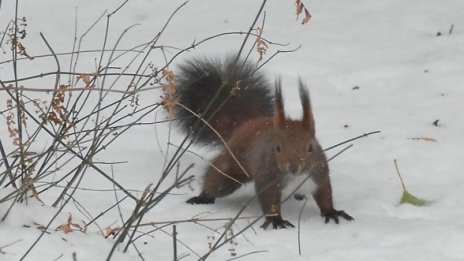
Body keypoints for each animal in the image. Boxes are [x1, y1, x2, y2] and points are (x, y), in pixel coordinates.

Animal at [173, 56, 352, 228]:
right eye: (278, 148)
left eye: (310, 147)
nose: (293, 167)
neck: (296, 177)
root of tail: (249, 123)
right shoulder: (268, 180)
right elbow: (269, 201)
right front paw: (276, 221)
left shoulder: (319, 175)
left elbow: (325, 196)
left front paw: (331, 212)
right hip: (234, 165)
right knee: (216, 179)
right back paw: (202, 197)